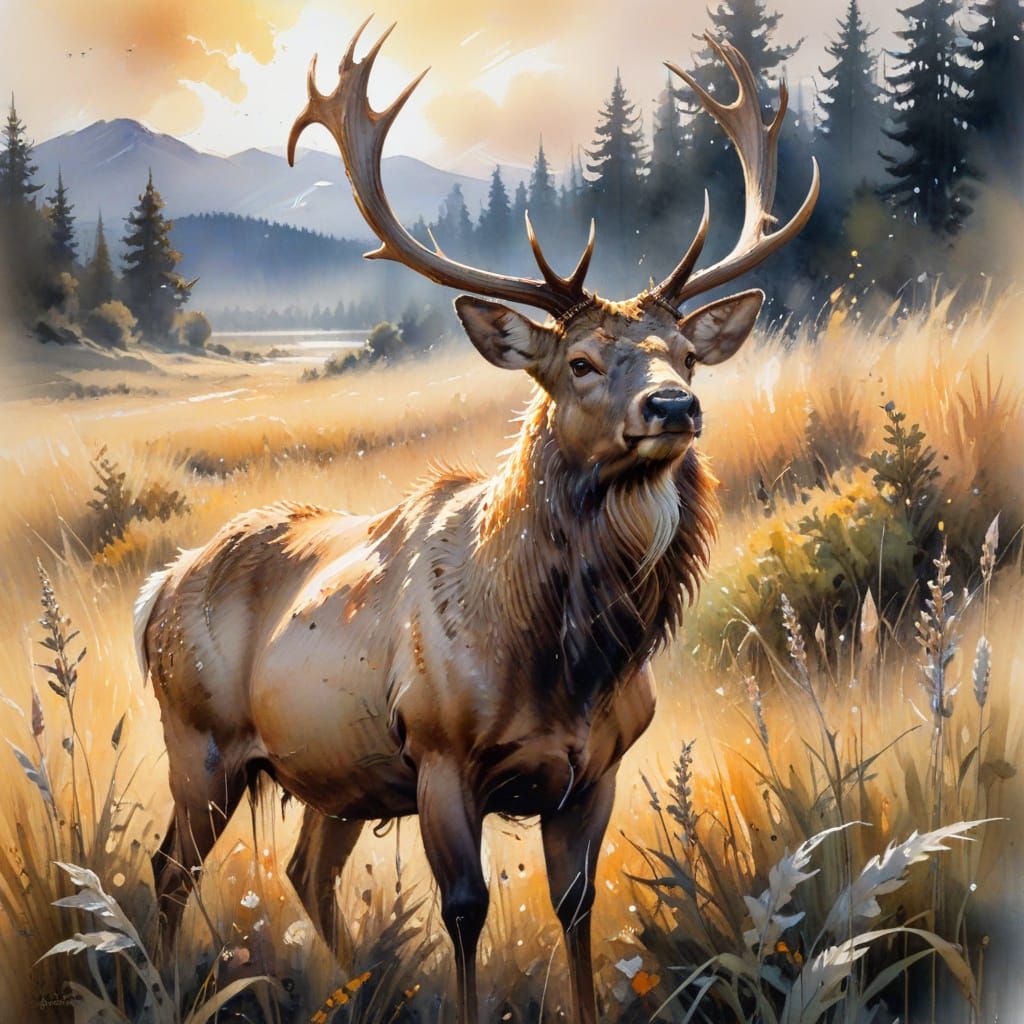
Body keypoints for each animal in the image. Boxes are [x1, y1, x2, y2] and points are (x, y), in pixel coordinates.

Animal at [134, 19, 817, 1024]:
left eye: (687, 354)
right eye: (579, 361)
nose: (674, 406)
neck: (563, 660)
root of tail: (155, 591)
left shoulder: (594, 770)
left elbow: (577, 907)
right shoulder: (438, 753)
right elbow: (464, 911)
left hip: (335, 775)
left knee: (303, 871)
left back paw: (363, 988)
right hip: (201, 741)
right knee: (168, 869)